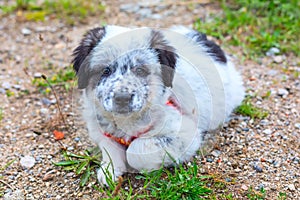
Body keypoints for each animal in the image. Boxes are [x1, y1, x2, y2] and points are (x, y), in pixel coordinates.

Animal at [72, 25, 244, 185]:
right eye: (106, 71)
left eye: (140, 70)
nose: (122, 99)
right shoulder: (101, 129)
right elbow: (109, 146)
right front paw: (109, 170)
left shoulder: (184, 133)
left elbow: (135, 151)